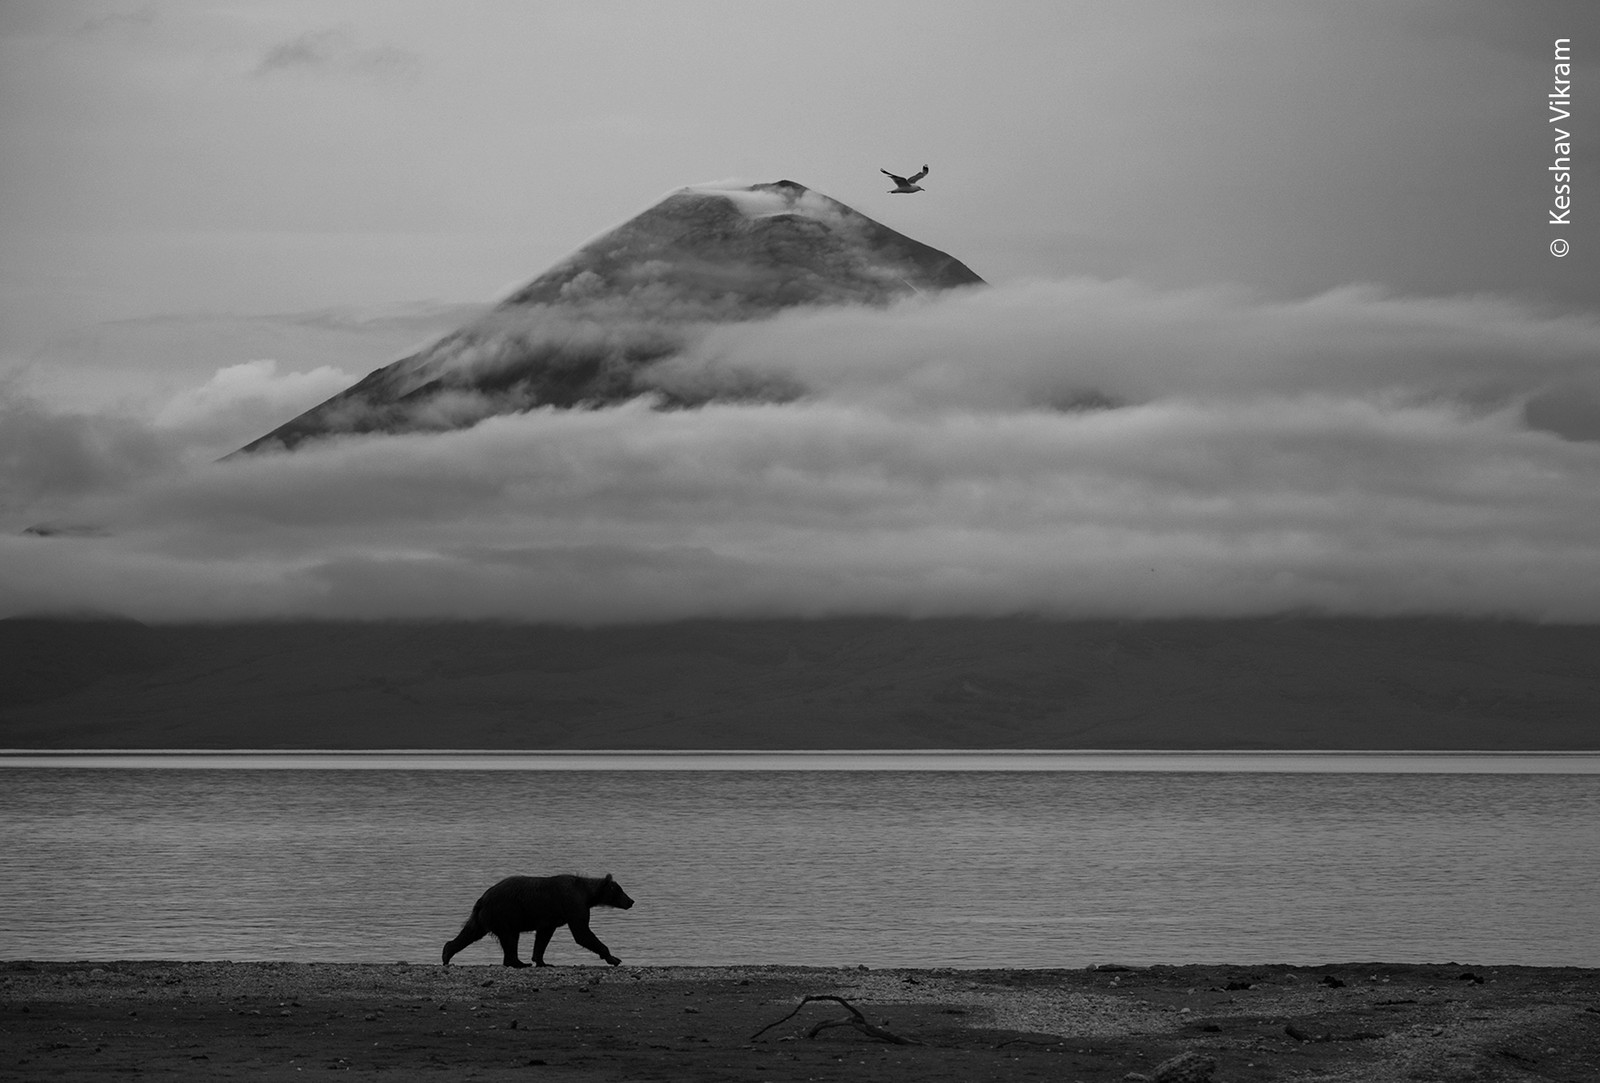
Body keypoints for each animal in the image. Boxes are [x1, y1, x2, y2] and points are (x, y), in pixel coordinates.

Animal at [441, 873, 635, 968]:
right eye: (620, 890)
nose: (631, 901)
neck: (588, 894)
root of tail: (483, 897)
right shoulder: (572, 904)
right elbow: (582, 932)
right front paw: (613, 958)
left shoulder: (551, 918)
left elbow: (543, 937)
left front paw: (541, 960)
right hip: (505, 913)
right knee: (510, 939)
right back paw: (518, 963)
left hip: (486, 916)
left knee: (471, 931)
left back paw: (447, 952)